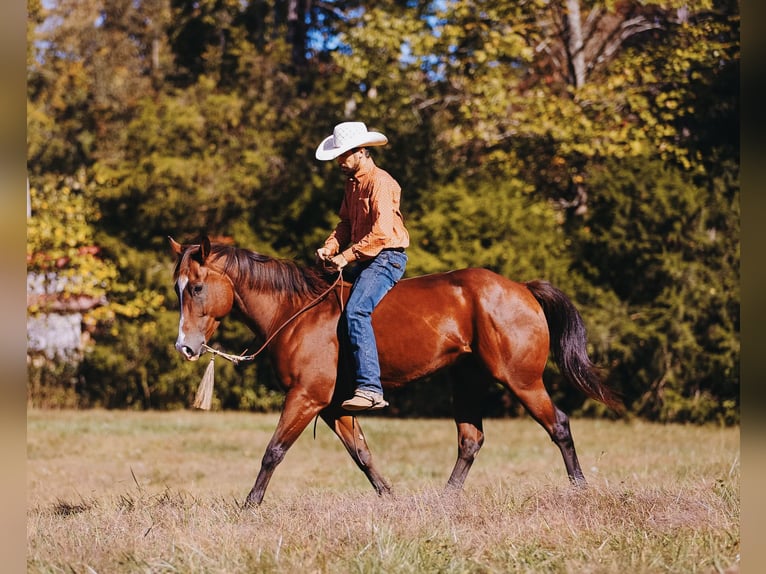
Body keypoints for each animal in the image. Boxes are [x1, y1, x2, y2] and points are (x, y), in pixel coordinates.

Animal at [170, 235, 621, 507]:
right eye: (178, 288)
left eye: (196, 287)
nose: (186, 347)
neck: (295, 312)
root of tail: (522, 289)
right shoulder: (334, 408)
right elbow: (363, 455)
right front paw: (390, 498)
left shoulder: (306, 397)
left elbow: (273, 451)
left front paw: (250, 505)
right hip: (467, 381)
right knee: (470, 440)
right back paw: (445, 500)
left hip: (522, 380)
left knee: (558, 425)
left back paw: (581, 490)